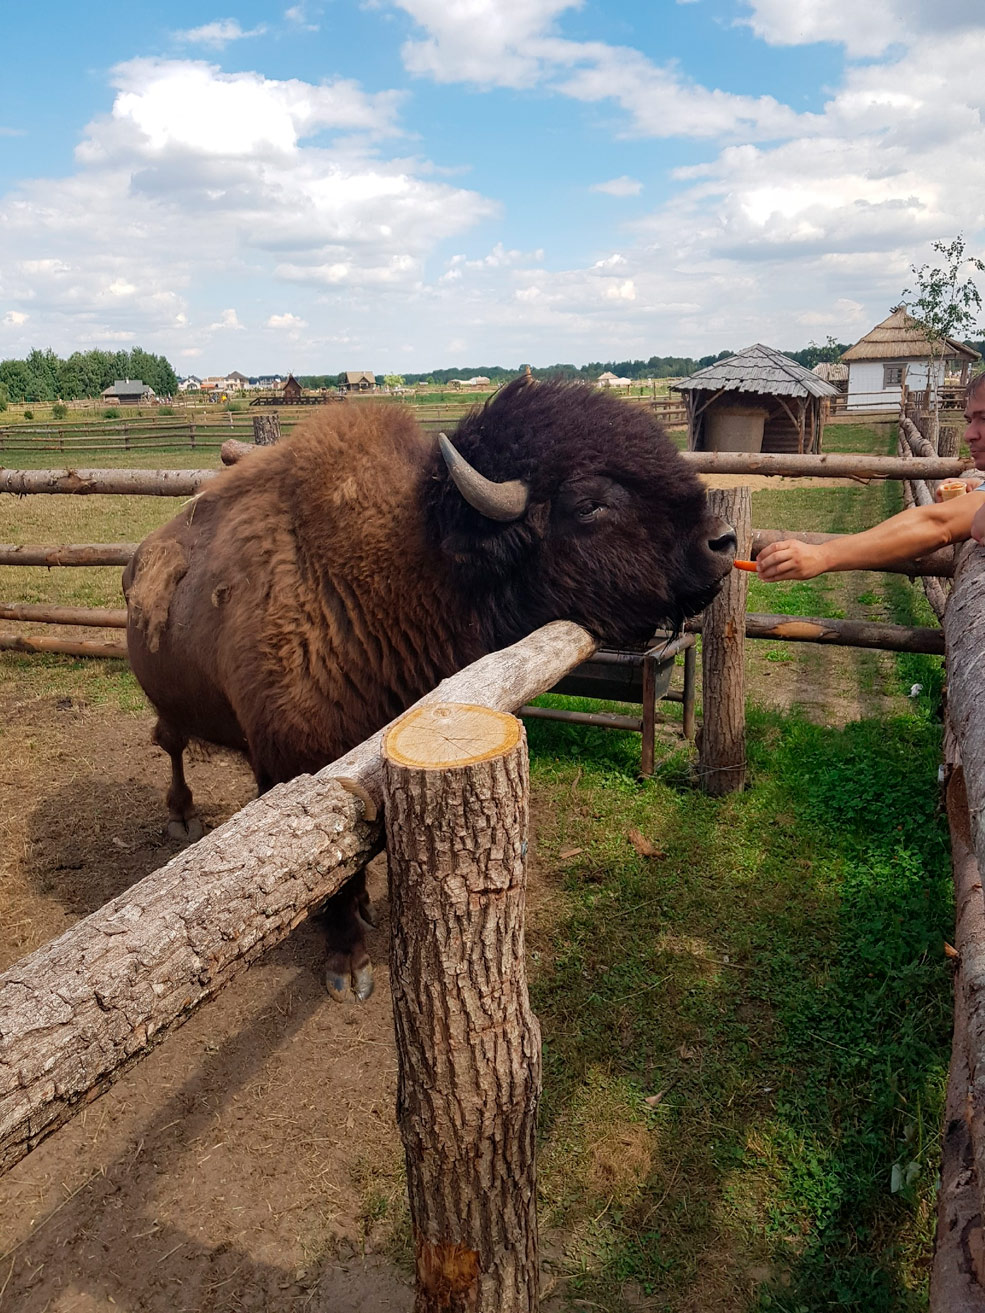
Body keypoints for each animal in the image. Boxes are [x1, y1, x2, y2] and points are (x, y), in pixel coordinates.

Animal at [123, 375, 735, 997]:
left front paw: (367, 909)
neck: (414, 567)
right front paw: (349, 967)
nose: (723, 543)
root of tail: (141, 555)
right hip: (172, 711)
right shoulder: (298, 768)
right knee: (170, 744)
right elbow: (330, 878)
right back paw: (181, 817)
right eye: (590, 504)